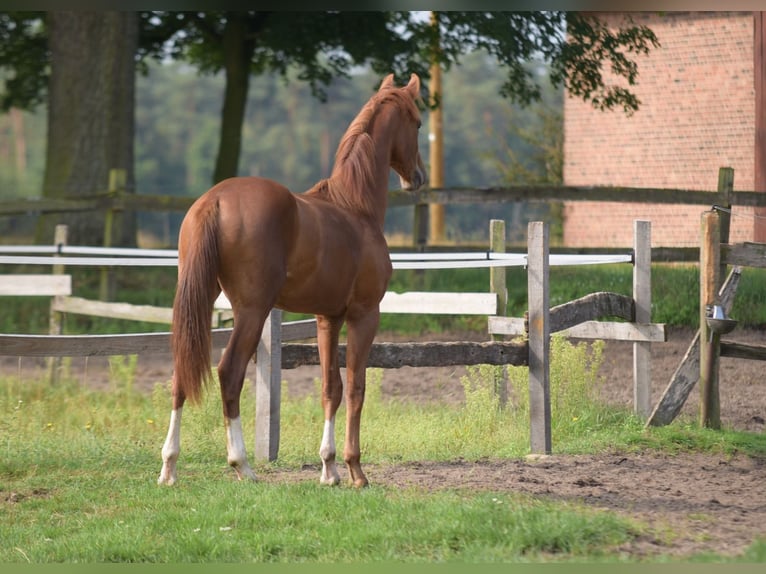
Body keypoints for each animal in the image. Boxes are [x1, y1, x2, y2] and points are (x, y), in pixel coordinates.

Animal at [159, 71, 428, 486]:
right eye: (417, 123)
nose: (417, 177)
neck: (355, 207)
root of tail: (215, 200)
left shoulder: (327, 318)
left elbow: (330, 387)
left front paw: (329, 469)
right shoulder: (364, 314)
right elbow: (356, 387)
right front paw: (355, 470)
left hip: (196, 302)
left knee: (180, 374)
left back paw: (169, 466)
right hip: (252, 311)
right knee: (229, 372)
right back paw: (242, 465)